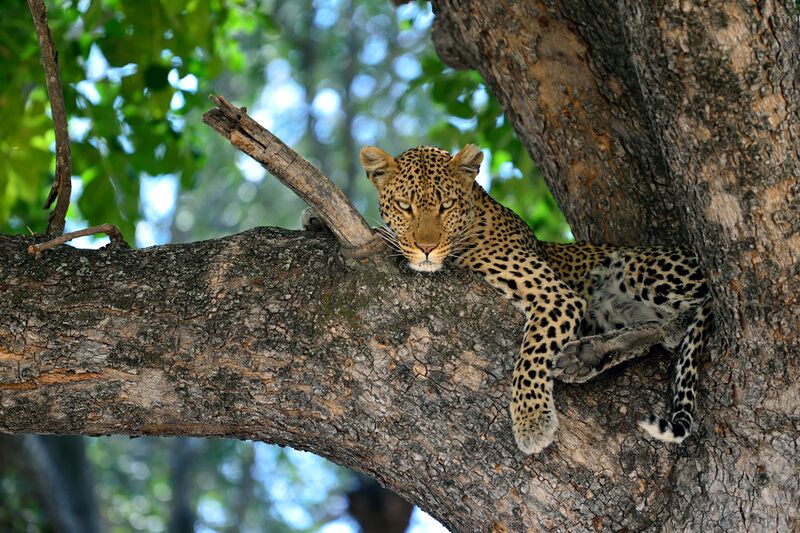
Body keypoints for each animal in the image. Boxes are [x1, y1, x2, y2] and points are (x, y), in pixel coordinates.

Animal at [311, 144, 713, 454]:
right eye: (405, 206)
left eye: (445, 205)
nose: (426, 247)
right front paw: (318, 221)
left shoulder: (554, 295)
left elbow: (532, 355)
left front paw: (531, 419)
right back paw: (589, 355)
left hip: (637, 267)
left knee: (698, 308)